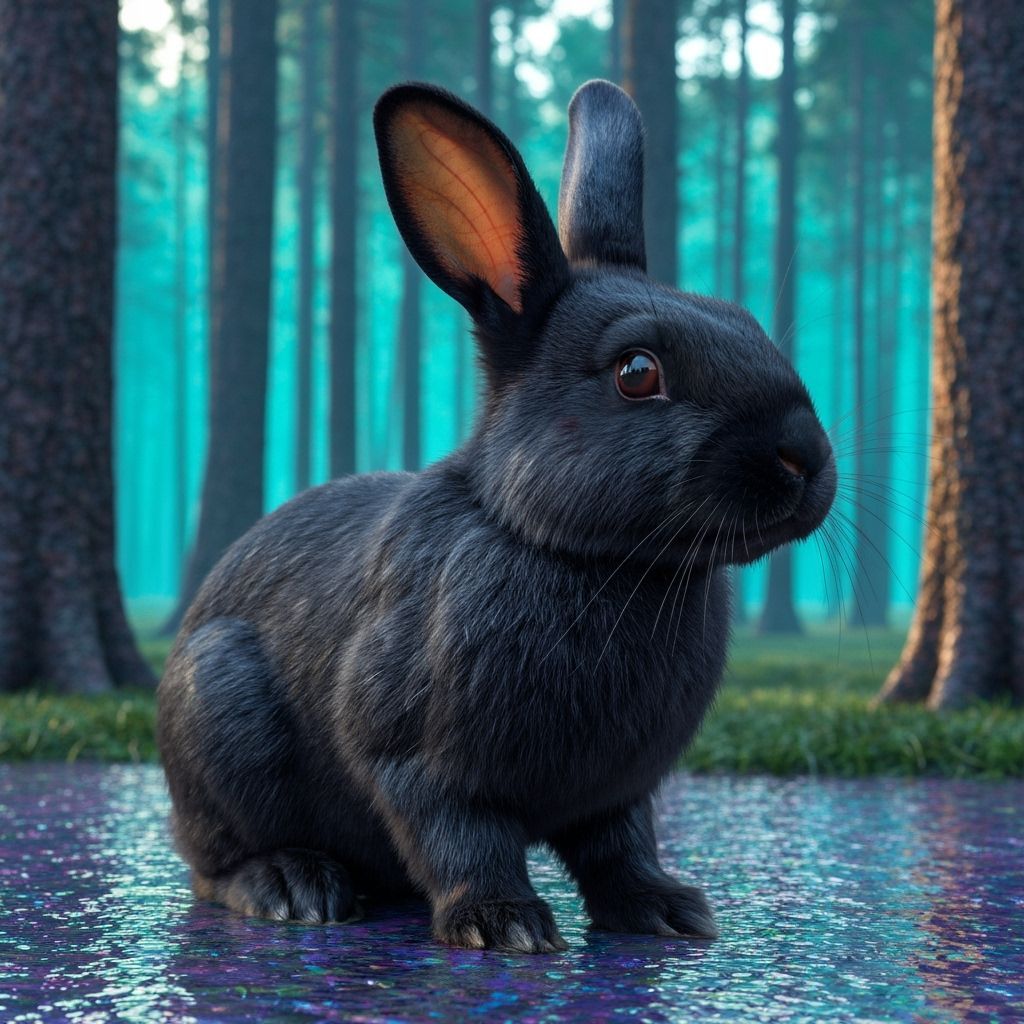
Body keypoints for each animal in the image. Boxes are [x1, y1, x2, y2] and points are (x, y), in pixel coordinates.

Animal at [157, 79, 836, 954]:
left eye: (748, 322)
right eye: (637, 372)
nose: (805, 457)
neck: (588, 556)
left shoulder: (618, 790)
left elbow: (621, 848)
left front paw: (667, 911)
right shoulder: (420, 760)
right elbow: (462, 837)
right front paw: (502, 923)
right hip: (218, 711)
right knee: (211, 864)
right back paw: (292, 885)